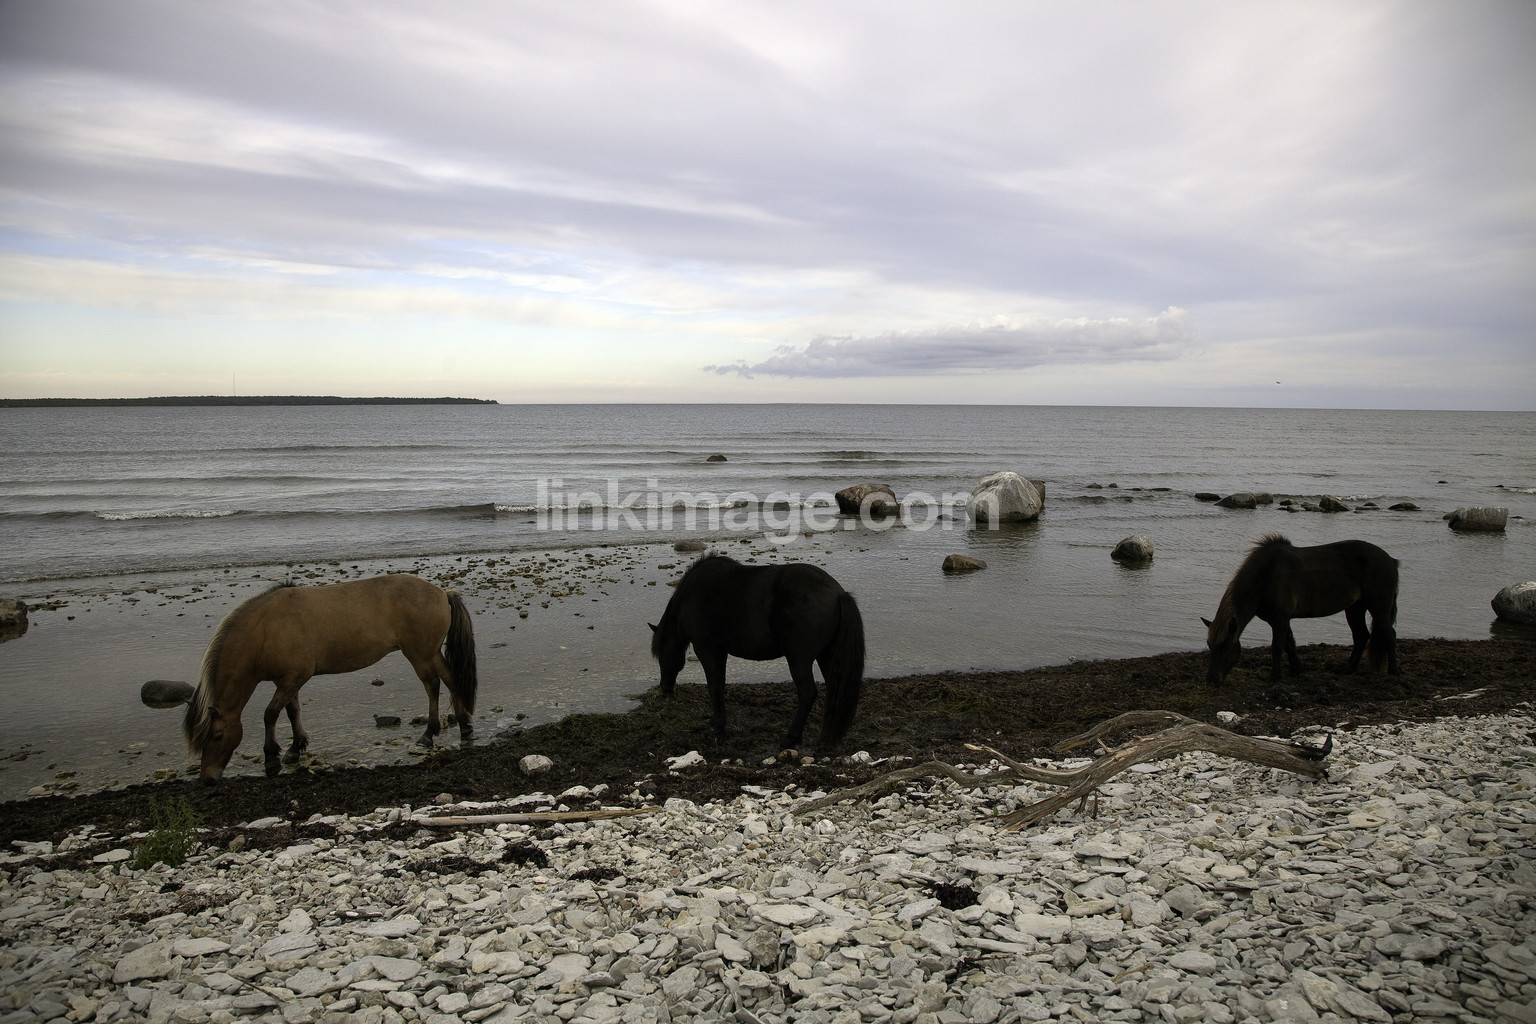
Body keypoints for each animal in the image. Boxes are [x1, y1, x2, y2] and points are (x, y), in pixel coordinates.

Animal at [183, 574, 476, 784]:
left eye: (217, 736)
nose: (207, 779)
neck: (266, 628)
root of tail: (442, 593)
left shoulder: (293, 678)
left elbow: (270, 714)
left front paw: (272, 760)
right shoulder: (288, 681)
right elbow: (291, 711)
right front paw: (295, 748)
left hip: (420, 655)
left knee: (432, 685)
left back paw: (429, 734)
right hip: (431, 653)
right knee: (451, 680)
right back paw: (464, 726)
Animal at [649, 554, 865, 750]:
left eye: (662, 655)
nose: (665, 688)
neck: (691, 595)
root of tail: (837, 593)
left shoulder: (707, 648)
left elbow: (714, 685)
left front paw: (718, 726)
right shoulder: (721, 650)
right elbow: (720, 683)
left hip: (799, 660)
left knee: (807, 694)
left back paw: (791, 738)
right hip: (826, 656)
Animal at [1203, 534, 1399, 685]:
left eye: (1225, 645)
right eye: (1210, 645)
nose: (1212, 679)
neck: (1266, 576)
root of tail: (1391, 560)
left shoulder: (1280, 618)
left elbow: (1277, 646)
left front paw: (1274, 677)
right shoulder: (1279, 619)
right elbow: (1289, 643)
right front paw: (1295, 671)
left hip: (1379, 608)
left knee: (1389, 635)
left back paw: (1393, 671)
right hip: (1355, 608)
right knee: (1361, 636)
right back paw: (1347, 670)